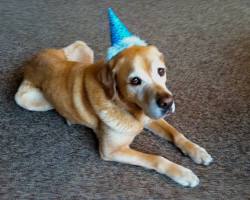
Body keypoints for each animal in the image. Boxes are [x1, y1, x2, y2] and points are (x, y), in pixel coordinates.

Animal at [14, 41, 212, 188]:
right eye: (135, 81)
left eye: (161, 71)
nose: (167, 102)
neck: (129, 108)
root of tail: (33, 58)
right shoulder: (112, 151)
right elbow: (157, 159)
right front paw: (183, 173)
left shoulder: (150, 117)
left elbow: (176, 134)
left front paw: (196, 150)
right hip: (26, 100)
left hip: (83, 48)